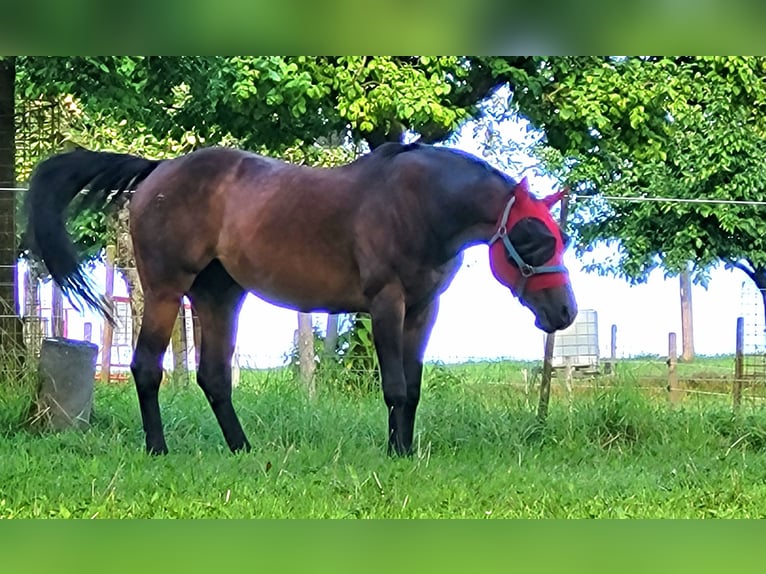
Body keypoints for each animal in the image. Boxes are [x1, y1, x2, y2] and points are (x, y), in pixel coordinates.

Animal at [24, 142, 577, 456]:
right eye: (532, 238)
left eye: (559, 238)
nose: (565, 312)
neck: (418, 203)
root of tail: (158, 170)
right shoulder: (387, 303)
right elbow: (396, 387)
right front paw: (396, 455)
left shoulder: (423, 309)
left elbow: (414, 388)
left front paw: (406, 448)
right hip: (165, 291)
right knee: (146, 368)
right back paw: (158, 449)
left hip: (220, 297)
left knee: (214, 377)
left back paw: (242, 448)